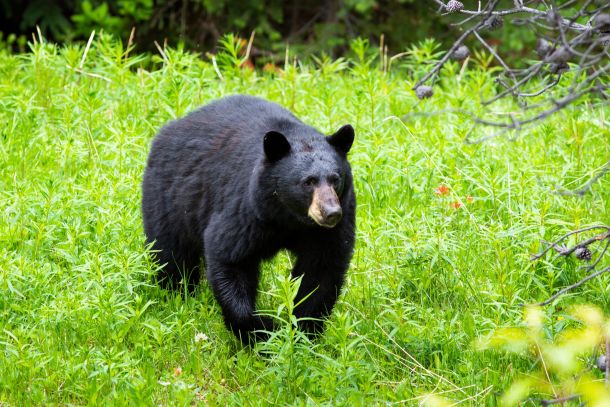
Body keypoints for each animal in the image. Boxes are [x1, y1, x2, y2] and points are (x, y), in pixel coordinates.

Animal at [142, 95, 356, 343]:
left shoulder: (328, 229)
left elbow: (321, 271)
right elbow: (230, 257)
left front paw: (303, 332)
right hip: (170, 201)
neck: (288, 218)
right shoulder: (246, 210)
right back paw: (177, 297)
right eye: (308, 181)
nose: (331, 212)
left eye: (335, 179)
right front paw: (262, 330)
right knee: (171, 255)